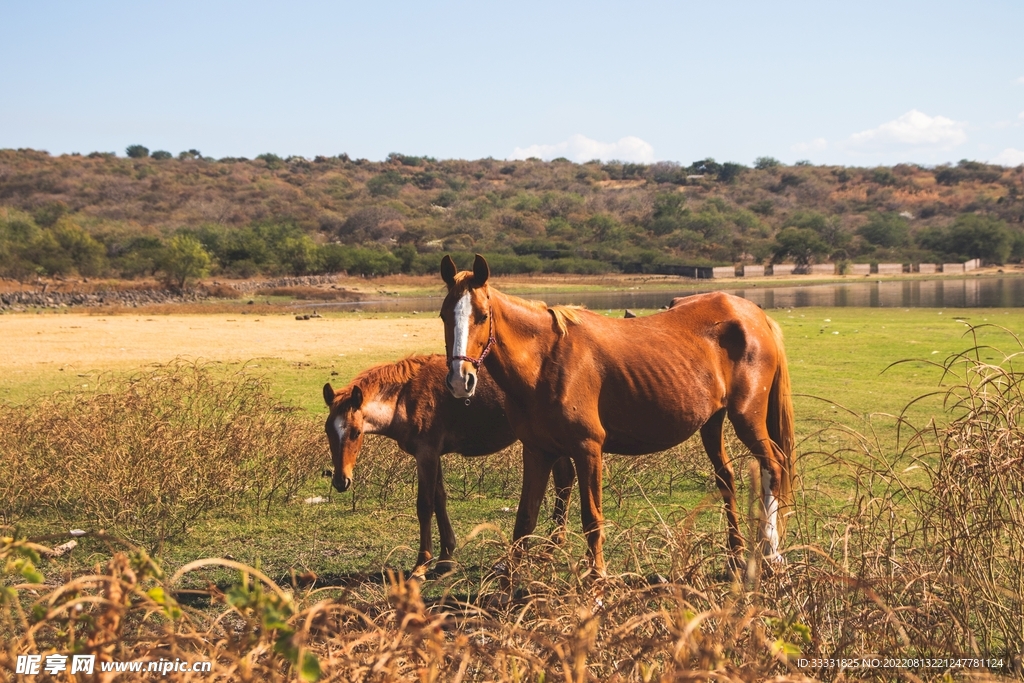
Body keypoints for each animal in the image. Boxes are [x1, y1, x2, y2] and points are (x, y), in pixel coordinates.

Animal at [321, 356, 577, 573]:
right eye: (328, 431)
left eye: (355, 432)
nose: (341, 481)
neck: (405, 398)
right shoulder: (432, 455)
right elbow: (439, 499)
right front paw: (446, 558)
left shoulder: (426, 454)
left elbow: (425, 506)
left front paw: (422, 564)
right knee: (565, 478)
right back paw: (552, 546)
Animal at [436, 255, 794, 577]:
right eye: (443, 316)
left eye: (482, 316)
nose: (460, 380)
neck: (546, 361)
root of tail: (755, 316)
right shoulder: (537, 451)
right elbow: (525, 519)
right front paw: (508, 580)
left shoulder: (588, 449)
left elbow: (592, 518)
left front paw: (597, 577)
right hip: (712, 423)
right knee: (726, 479)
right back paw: (735, 555)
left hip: (746, 416)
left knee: (773, 466)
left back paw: (770, 553)